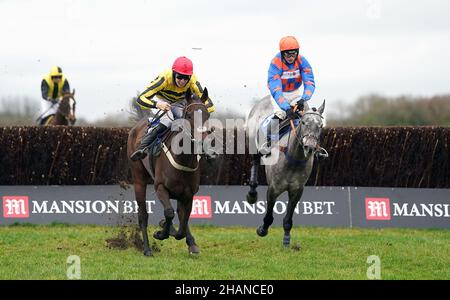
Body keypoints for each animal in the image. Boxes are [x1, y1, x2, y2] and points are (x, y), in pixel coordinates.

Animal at [126, 88, 211, 256]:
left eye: (207, 115)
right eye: (189, 115)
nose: (202, 142)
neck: (182, 158)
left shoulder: (188, 194)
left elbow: (183, 223)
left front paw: (175, 233)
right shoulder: (160, 187)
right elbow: (170, 213)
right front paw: (160, 233)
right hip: (139, 179)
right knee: (143, 214)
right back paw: (147, 249)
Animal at [246, 96, 326, 246]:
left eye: (321, 126)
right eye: (304, 122)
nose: (310, 147)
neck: (293, 160)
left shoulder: (297, 191)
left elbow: (288, 219)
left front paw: (286, 240)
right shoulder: (273, 189)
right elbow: (269, 216)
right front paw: (262, 230)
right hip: (253, 142)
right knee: (255, 161)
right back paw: (252, 194)